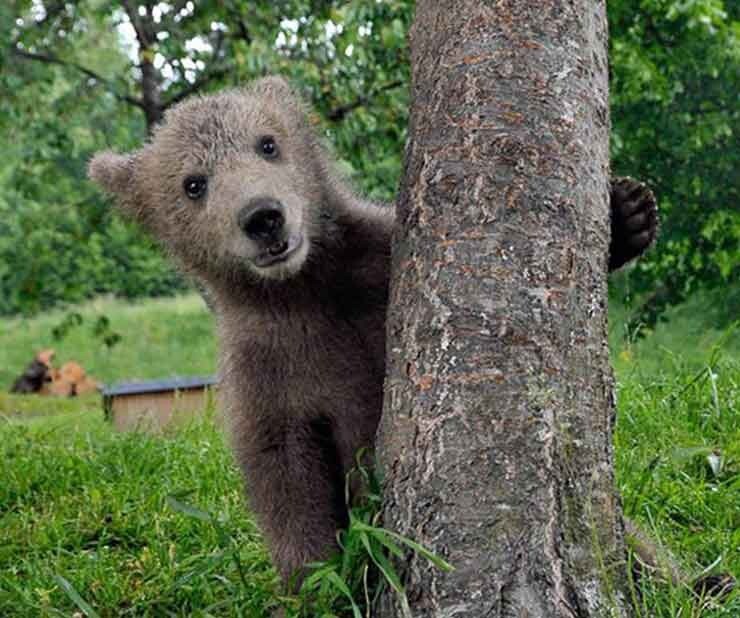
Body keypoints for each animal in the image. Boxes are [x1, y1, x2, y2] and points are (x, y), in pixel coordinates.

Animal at [88, 76, 660, 584]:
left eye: (268, 143)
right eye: (193, 183)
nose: (263, 216)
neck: (305, 287)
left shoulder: (377, 270)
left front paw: (629, 211)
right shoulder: (268, 367)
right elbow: (285, 475)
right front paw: (321, 578)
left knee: (640, 550)